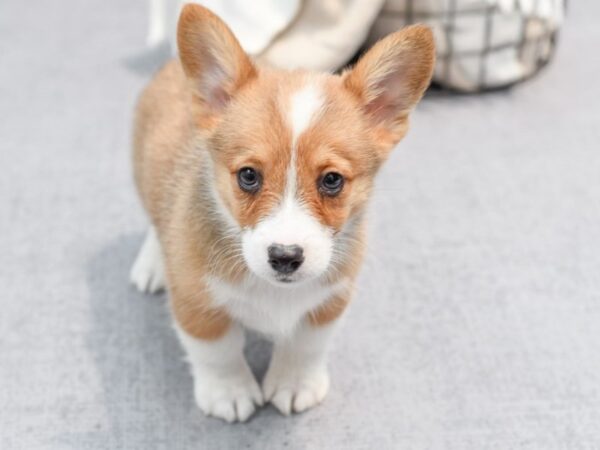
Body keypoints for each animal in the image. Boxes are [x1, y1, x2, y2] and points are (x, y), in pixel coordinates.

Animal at [130, 4, 432, 422]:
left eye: (332, 180)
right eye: (248, 176)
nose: (285, 257)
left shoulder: (328, 302)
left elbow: (305, 347)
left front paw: (294, 384)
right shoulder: (196, 304)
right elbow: (218, 352)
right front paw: (229, 392)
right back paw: (151, 264)